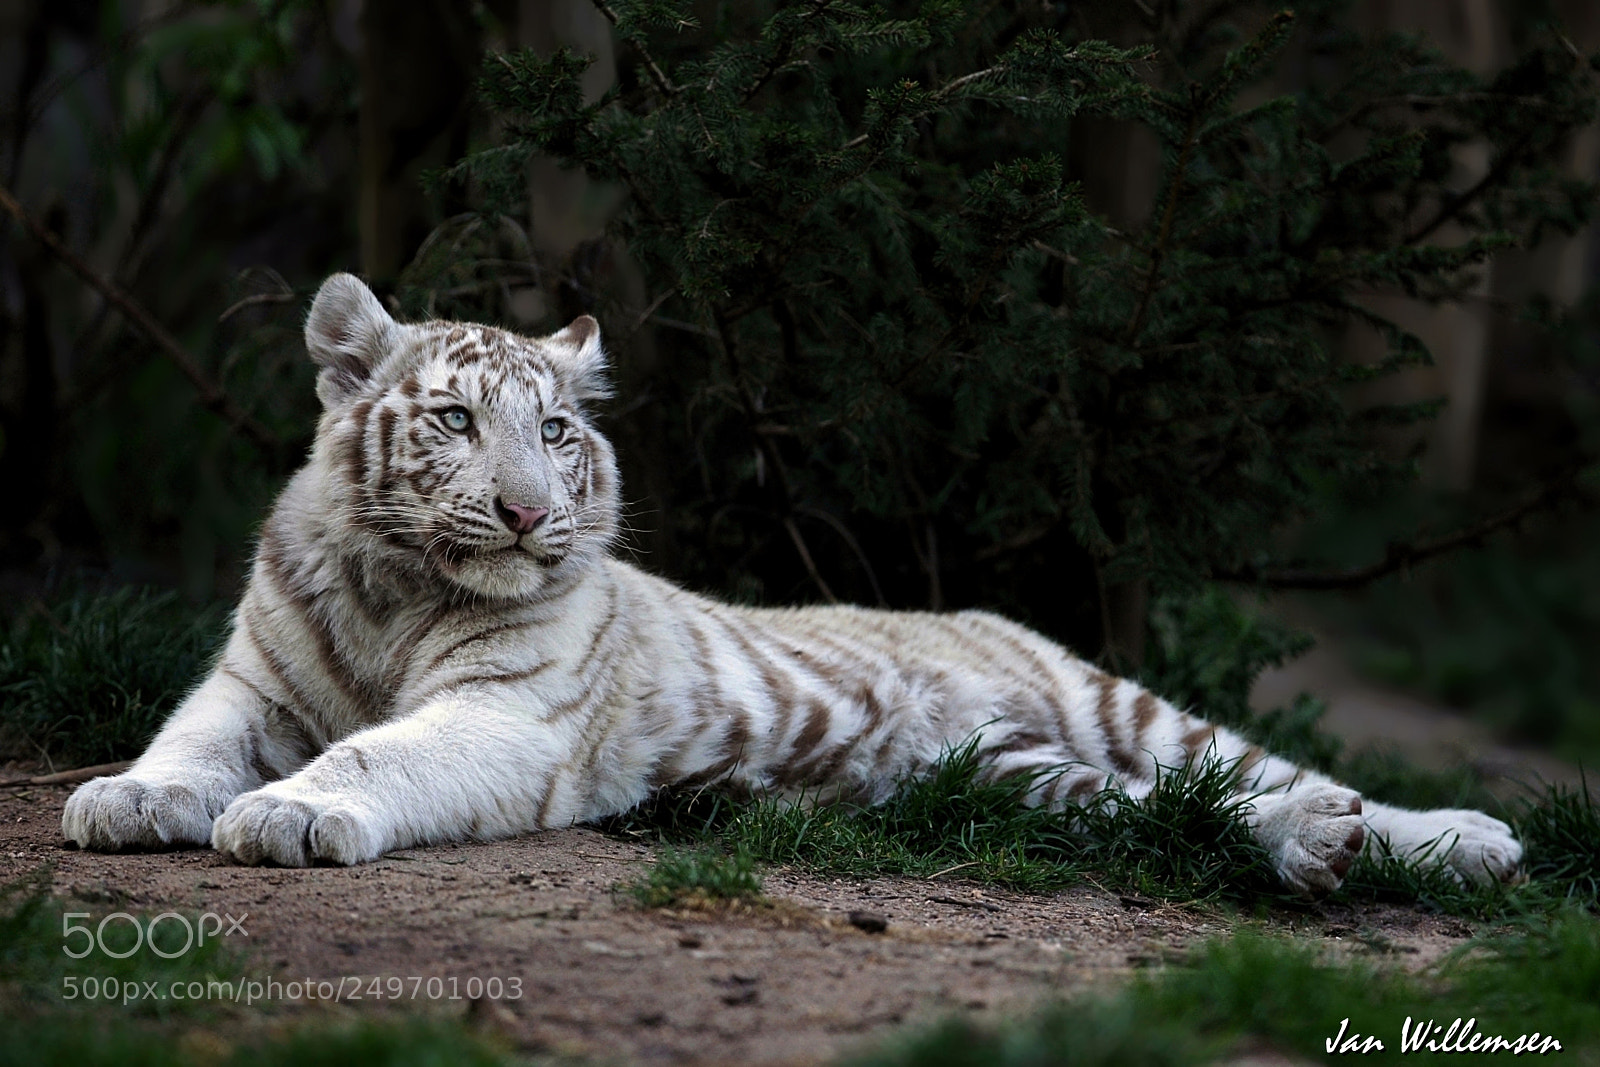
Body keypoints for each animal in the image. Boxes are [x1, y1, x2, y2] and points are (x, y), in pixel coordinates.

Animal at [62, 273, 1522, 895]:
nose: (530, 513)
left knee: (1281, 772)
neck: (394, 586)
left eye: (557, 430)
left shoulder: (507, 717)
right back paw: (1311, 850)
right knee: (1179, 813)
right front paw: (129, 798)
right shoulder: (250, 682)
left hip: (1120, 705)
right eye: (457, 422)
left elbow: (374, 754)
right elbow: (186, 739)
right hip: (1024, 778)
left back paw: (1450, 838)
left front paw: (289, 812)